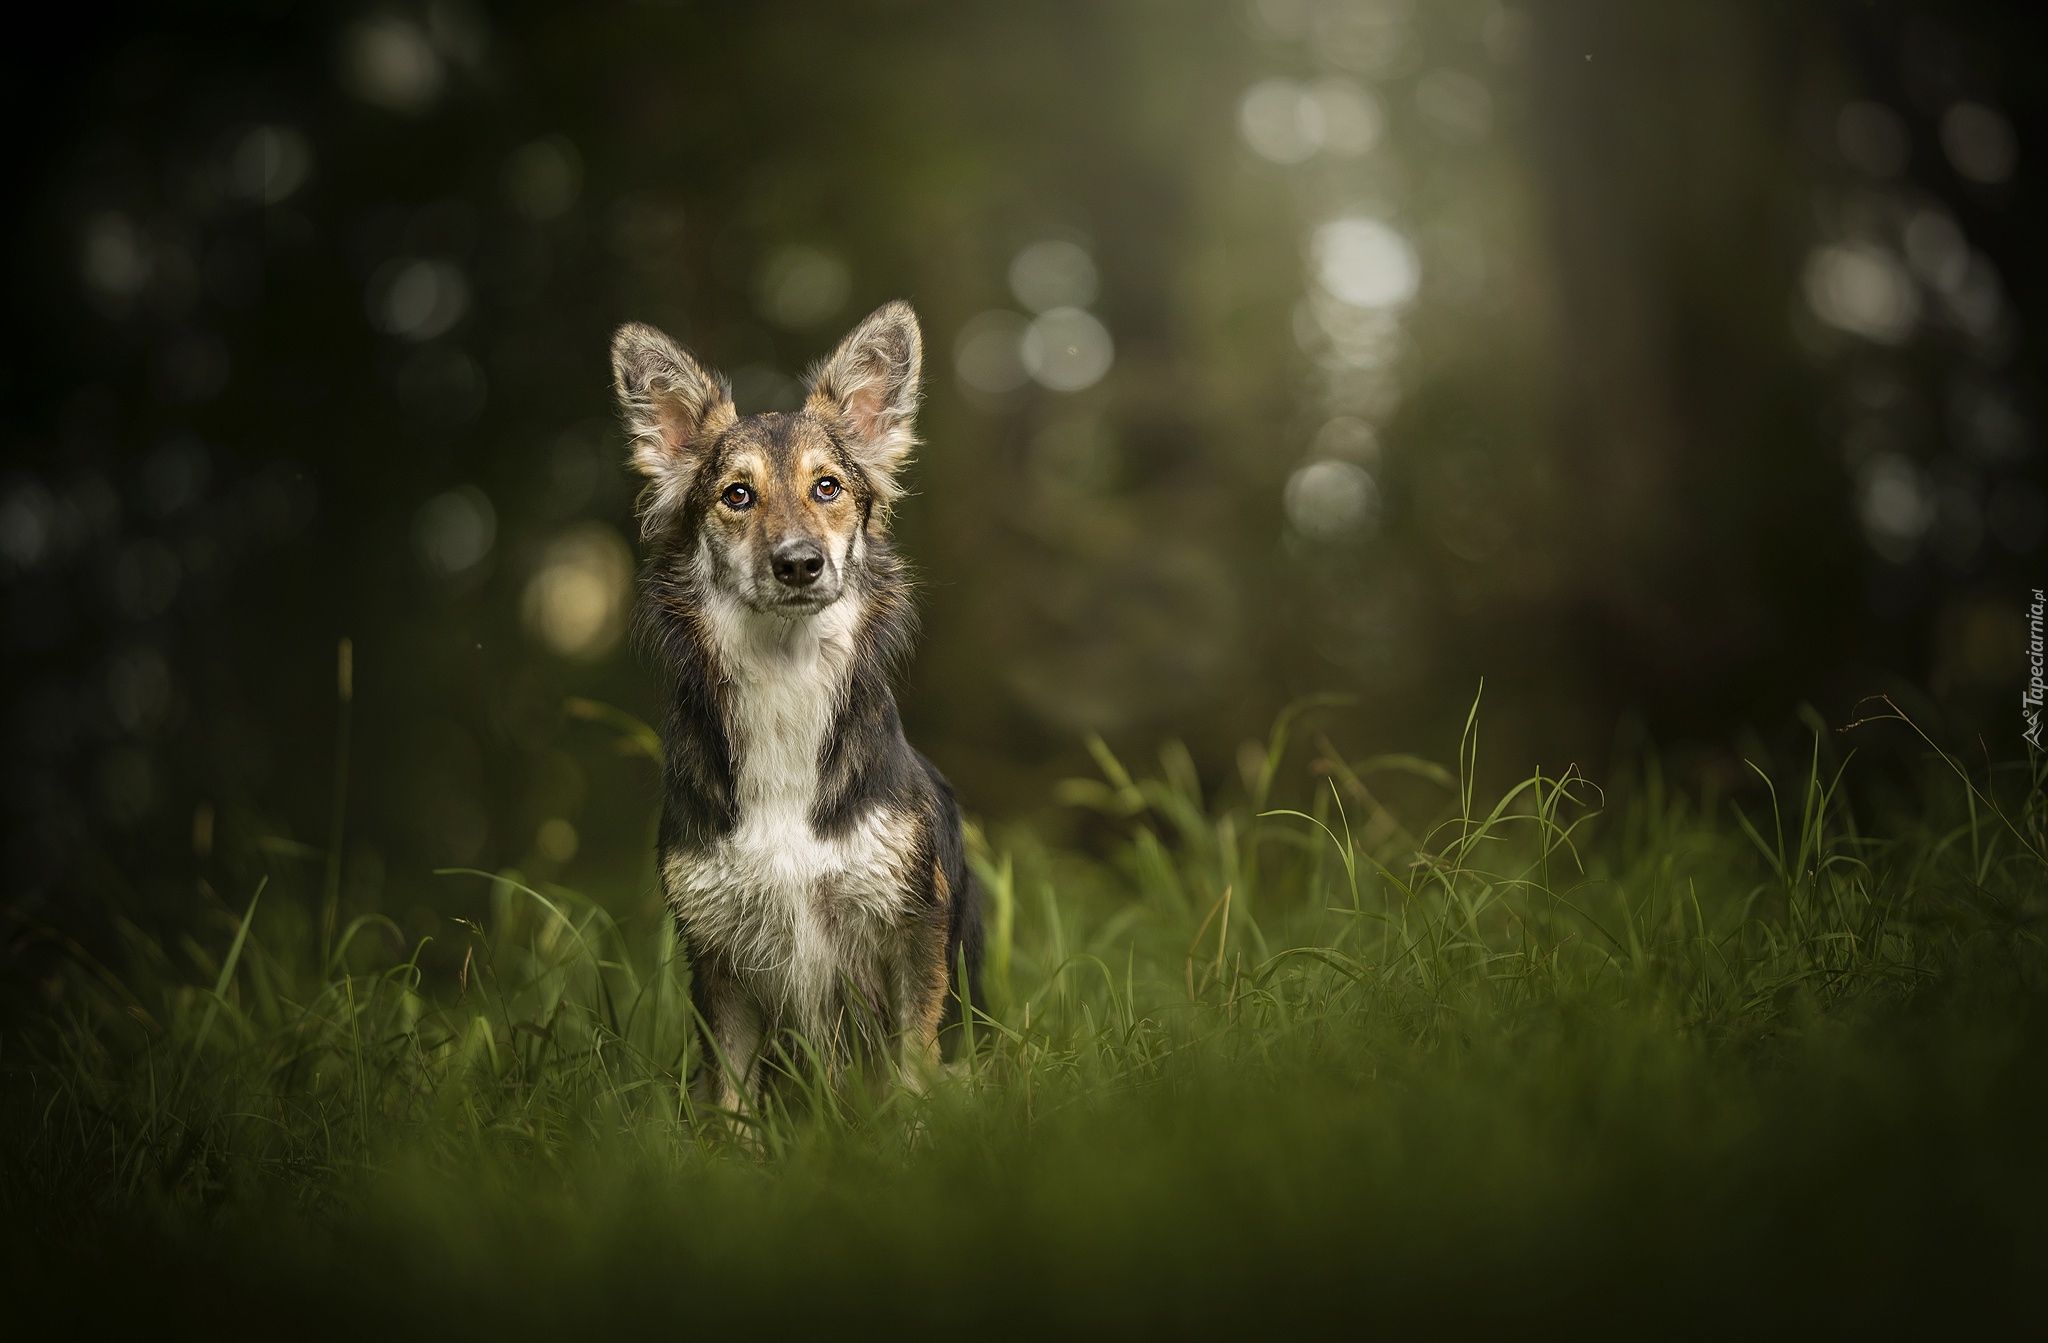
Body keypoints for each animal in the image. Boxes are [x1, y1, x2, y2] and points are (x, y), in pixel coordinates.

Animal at [606, 305, 983, 1113]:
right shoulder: (715, 950)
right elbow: (732, 1098)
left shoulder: (912, 926)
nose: (800, 563)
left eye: (828, 487)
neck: (785, 683)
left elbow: (911, 1067)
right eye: (736, 495)